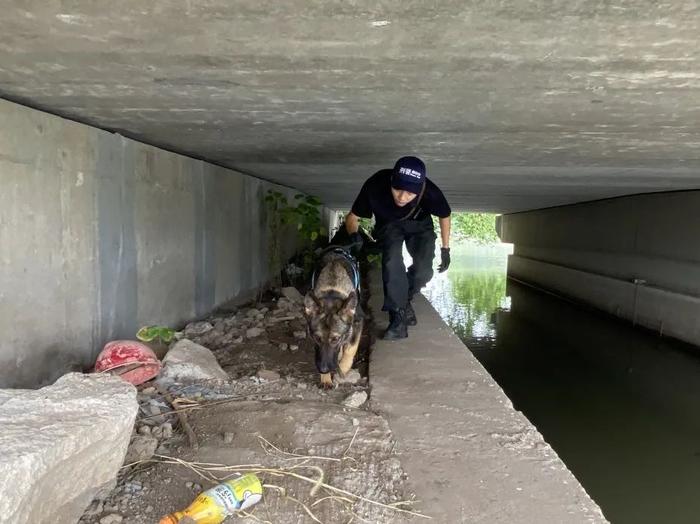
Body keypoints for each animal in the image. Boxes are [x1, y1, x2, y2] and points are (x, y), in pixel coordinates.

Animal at [304, 247, 364, 388]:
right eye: (317, 338)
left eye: (335, 339)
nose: (323, 369)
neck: (332, 289)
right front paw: (325, 378)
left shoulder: (358, 322)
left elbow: (351, 348)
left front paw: (343, 367)